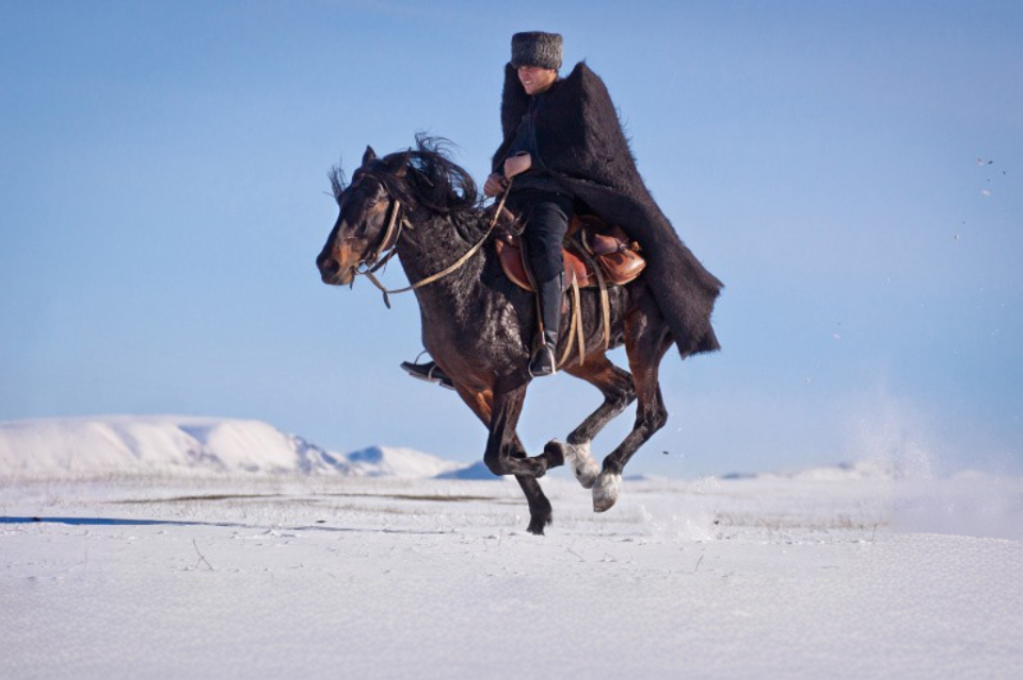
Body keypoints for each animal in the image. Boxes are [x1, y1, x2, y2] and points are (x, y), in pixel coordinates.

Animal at [315, 138, 675, 535]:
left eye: (374, 202)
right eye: (342, 199)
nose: (328, 265)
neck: (466, 281)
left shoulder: (513, 379)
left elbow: (497, 456)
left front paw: (552, 455)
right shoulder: (469, 387)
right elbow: (506, 451)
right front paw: (540, 514)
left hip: (643, 340)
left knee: (652, 414)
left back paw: (605, 483)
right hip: (584, 356)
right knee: (621, 390)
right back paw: (583, 462)